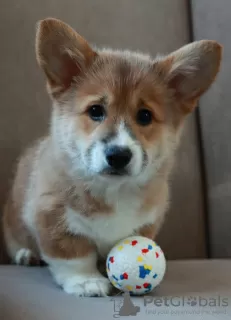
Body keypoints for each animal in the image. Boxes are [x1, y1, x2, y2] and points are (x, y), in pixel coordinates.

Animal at [2, 18, 221, 298]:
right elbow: (73, 255)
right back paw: (26, 255)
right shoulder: (51, 217)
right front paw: (86, 282)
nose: (118, 155)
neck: (114, 190)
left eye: (145, 116)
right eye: (96, 110)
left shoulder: (148, 222)